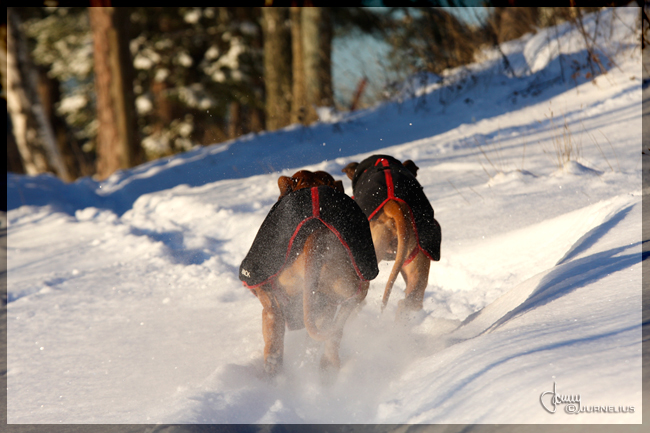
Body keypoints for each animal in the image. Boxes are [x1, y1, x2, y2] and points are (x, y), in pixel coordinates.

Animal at [240, 169, 378, 378]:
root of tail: (317, 232)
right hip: (348, 292)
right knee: (334, 332)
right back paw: (326, 366)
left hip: (275, 298)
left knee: (274, 340)